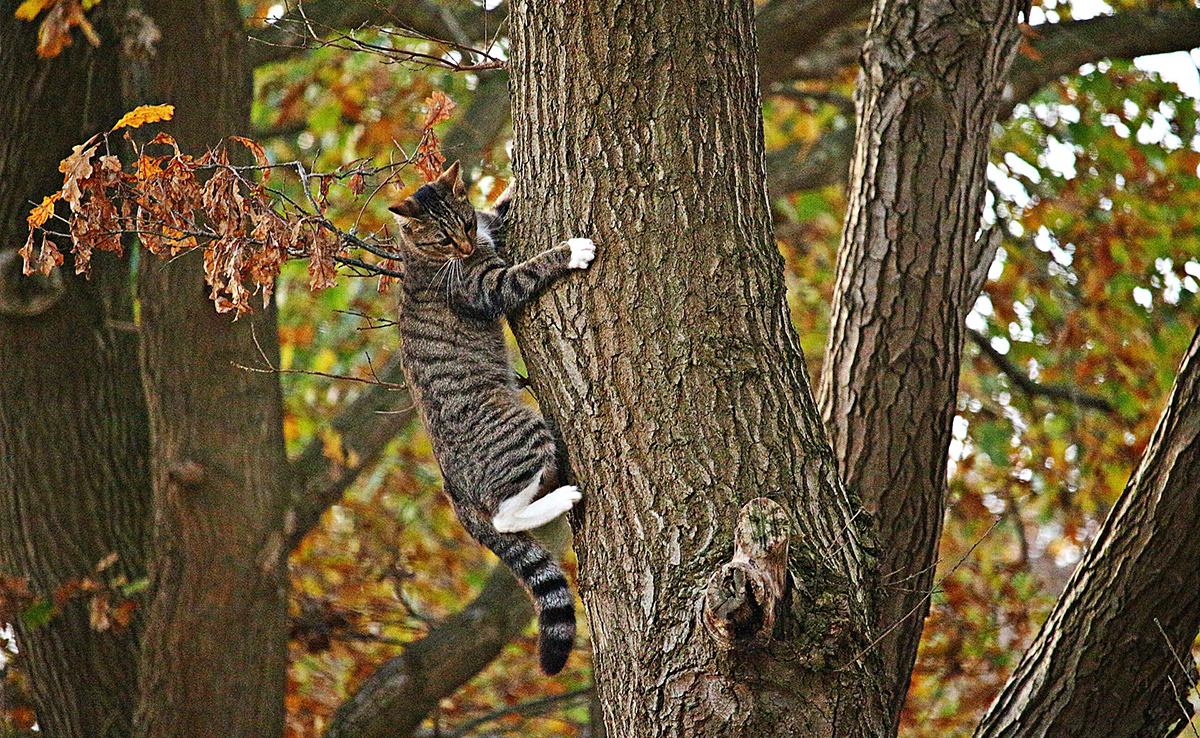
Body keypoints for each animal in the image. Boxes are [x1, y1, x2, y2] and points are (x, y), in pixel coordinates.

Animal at [388, 162, 595, 676]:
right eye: (442, 240)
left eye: (463, 225)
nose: (465, 247)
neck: (419, 256)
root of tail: (453, 490)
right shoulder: (485, 287)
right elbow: (524, 270)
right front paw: (570, 251)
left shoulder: (485, 224)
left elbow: (499, 208)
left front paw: (510, 186)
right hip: (521, 428)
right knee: (503, 519)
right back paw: (559, 498)